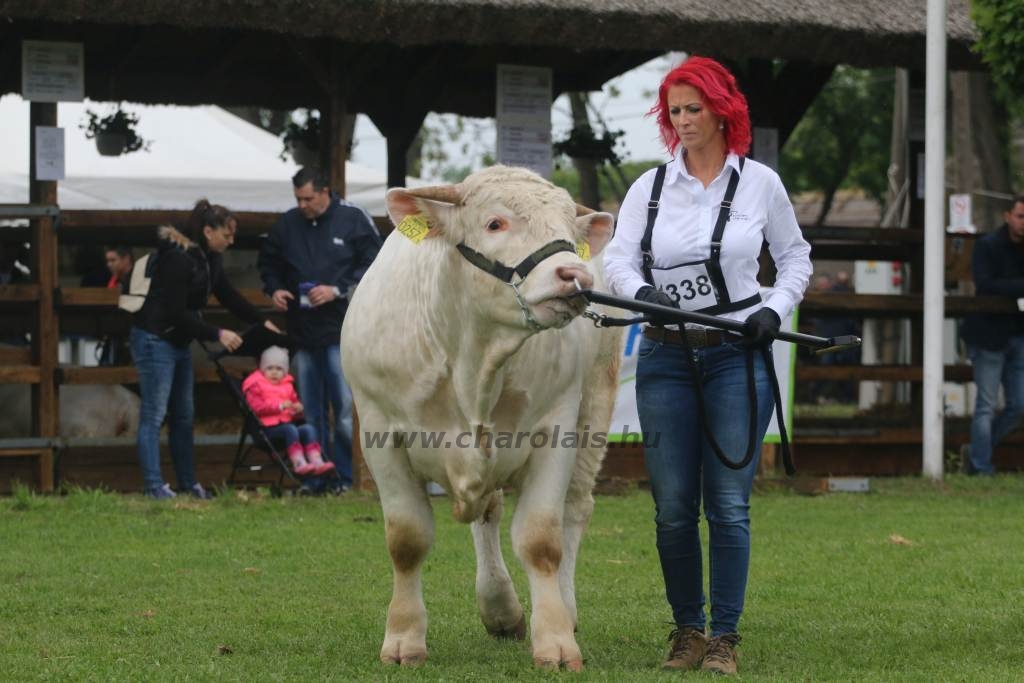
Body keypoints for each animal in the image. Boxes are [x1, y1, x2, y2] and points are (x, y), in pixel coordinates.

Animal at [339, 166, 618, 671]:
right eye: (495, 223)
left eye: (569, 230)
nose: (575, 274)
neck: (474, 357)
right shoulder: (378, 431)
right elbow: (407, 539)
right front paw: (404, 638)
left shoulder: (556, 428)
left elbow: (542, 540)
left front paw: (555, 640)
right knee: (488, 512)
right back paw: (500, 608)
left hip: (595, 409)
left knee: (574, 509)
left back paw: (562, 609)